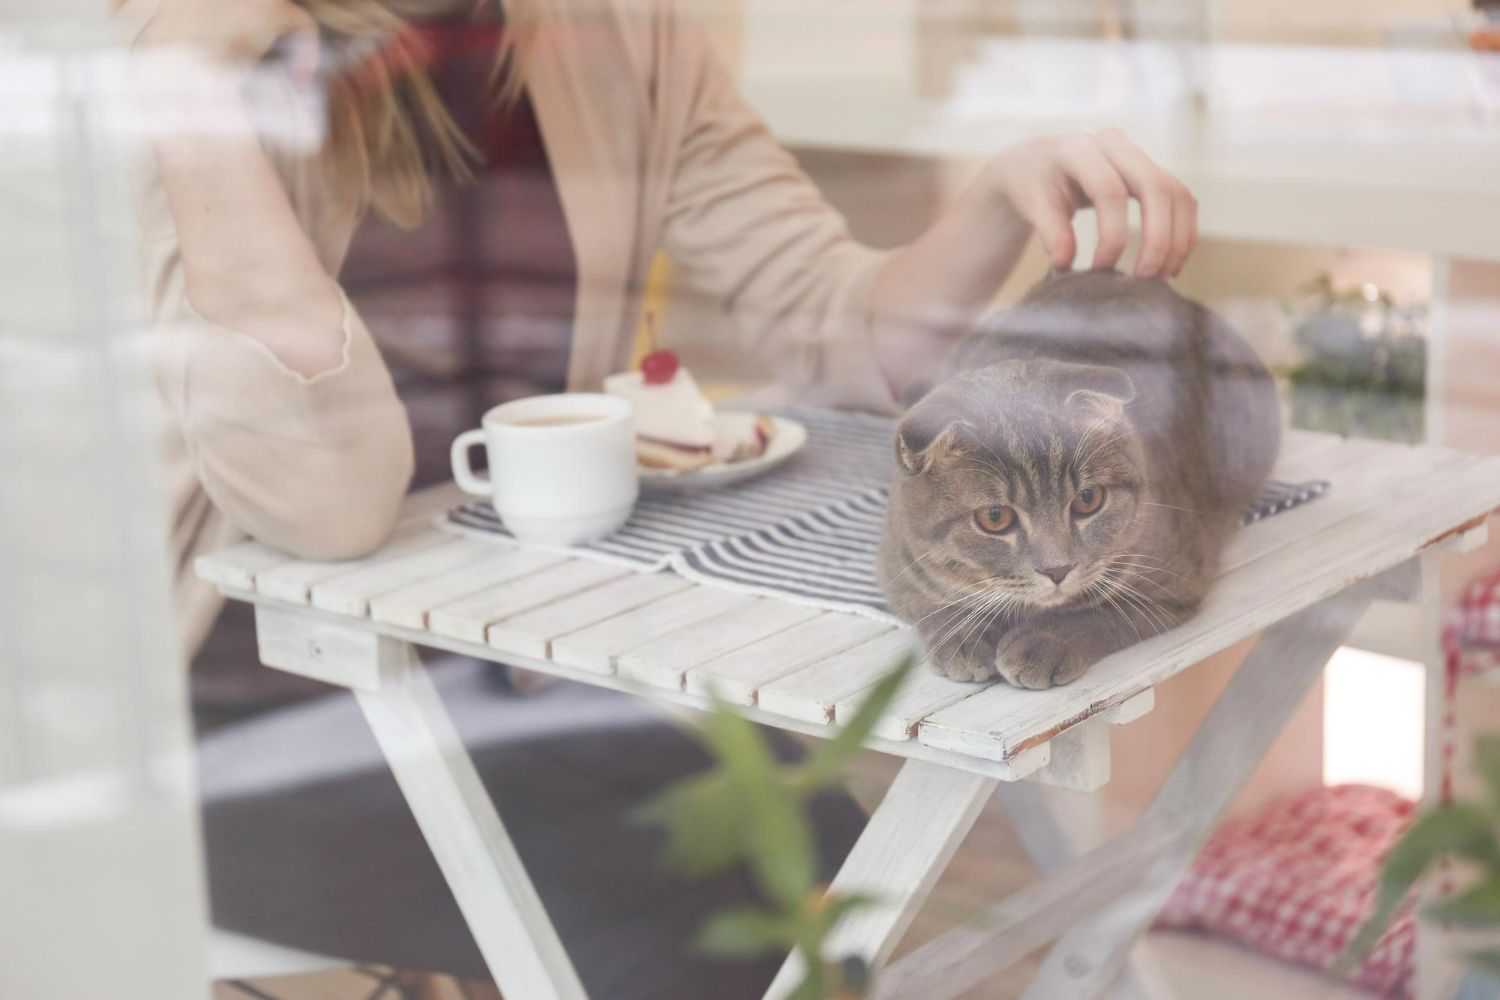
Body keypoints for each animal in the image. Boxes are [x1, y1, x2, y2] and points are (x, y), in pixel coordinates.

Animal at [876, 268, 1278, 689]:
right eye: (994, 518)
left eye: (1088, 499)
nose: (1057, 570)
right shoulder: (897, 567)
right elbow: (932, 604)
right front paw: (964, 635)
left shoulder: (1175, 581)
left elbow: (1100, 613)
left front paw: (1044, 641)